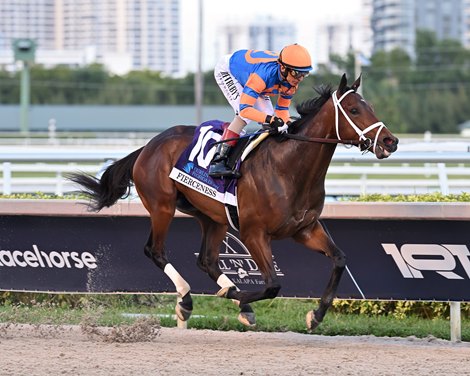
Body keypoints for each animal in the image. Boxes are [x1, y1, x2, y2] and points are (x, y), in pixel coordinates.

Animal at [70, 73, 398, 328]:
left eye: (370, 107)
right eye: (354, 110)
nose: (390, 141)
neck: (289, 168)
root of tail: (149, 146)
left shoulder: (305, 229)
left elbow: (340, 259)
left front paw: (315, 315)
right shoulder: (254, 233)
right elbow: (273, 284)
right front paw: (234, 296)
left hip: (212, 218)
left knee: (206, 260)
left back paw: (235, 302)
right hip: (162, 206)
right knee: (155, 250)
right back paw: (188, 300)